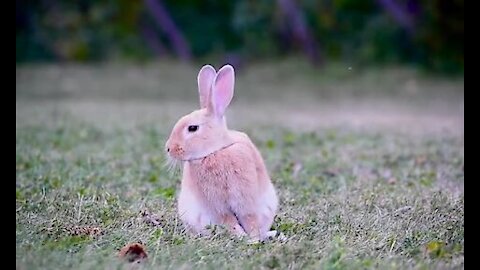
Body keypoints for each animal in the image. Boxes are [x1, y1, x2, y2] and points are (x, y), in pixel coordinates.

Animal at [165, 63, 278, 240]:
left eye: (192, 128)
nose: (169, 148)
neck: (216, 151)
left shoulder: (246, 200)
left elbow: (249, 218)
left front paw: (252, 239)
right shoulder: (216, 205)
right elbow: (229, 221)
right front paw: (243, 237)